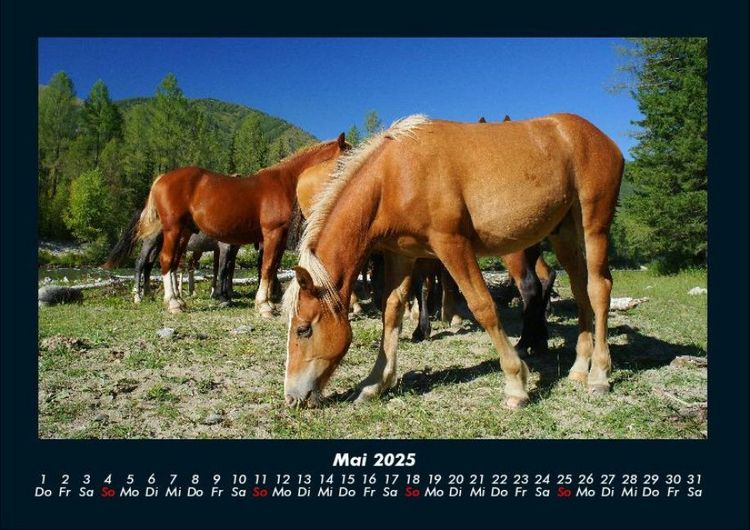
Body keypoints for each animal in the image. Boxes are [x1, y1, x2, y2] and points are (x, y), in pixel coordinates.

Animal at [137, 134, 350, 316]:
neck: (284, 182)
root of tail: (161, 178)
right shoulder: (272, 233)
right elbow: (267, 267)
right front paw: (264, 306)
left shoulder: (278, 238)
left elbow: (272, 267)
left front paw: (268, 302)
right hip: (172, 230)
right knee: (165, 260)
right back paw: (172, 303)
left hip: (184, 232)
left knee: (173, 262)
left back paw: (179, 301)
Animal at [283, 113, 623, 409]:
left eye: (303, 330)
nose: (292, 397)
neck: (396, 174)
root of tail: (599, 137)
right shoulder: (402, 255)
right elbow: (391, 312)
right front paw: (375, 383)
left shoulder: (452, 246)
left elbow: (483, 307)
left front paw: (516, 384)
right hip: (564, 233)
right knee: (580, 290)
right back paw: (579, 368)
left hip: (594, 226)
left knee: (599, 289)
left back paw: (599, 375)